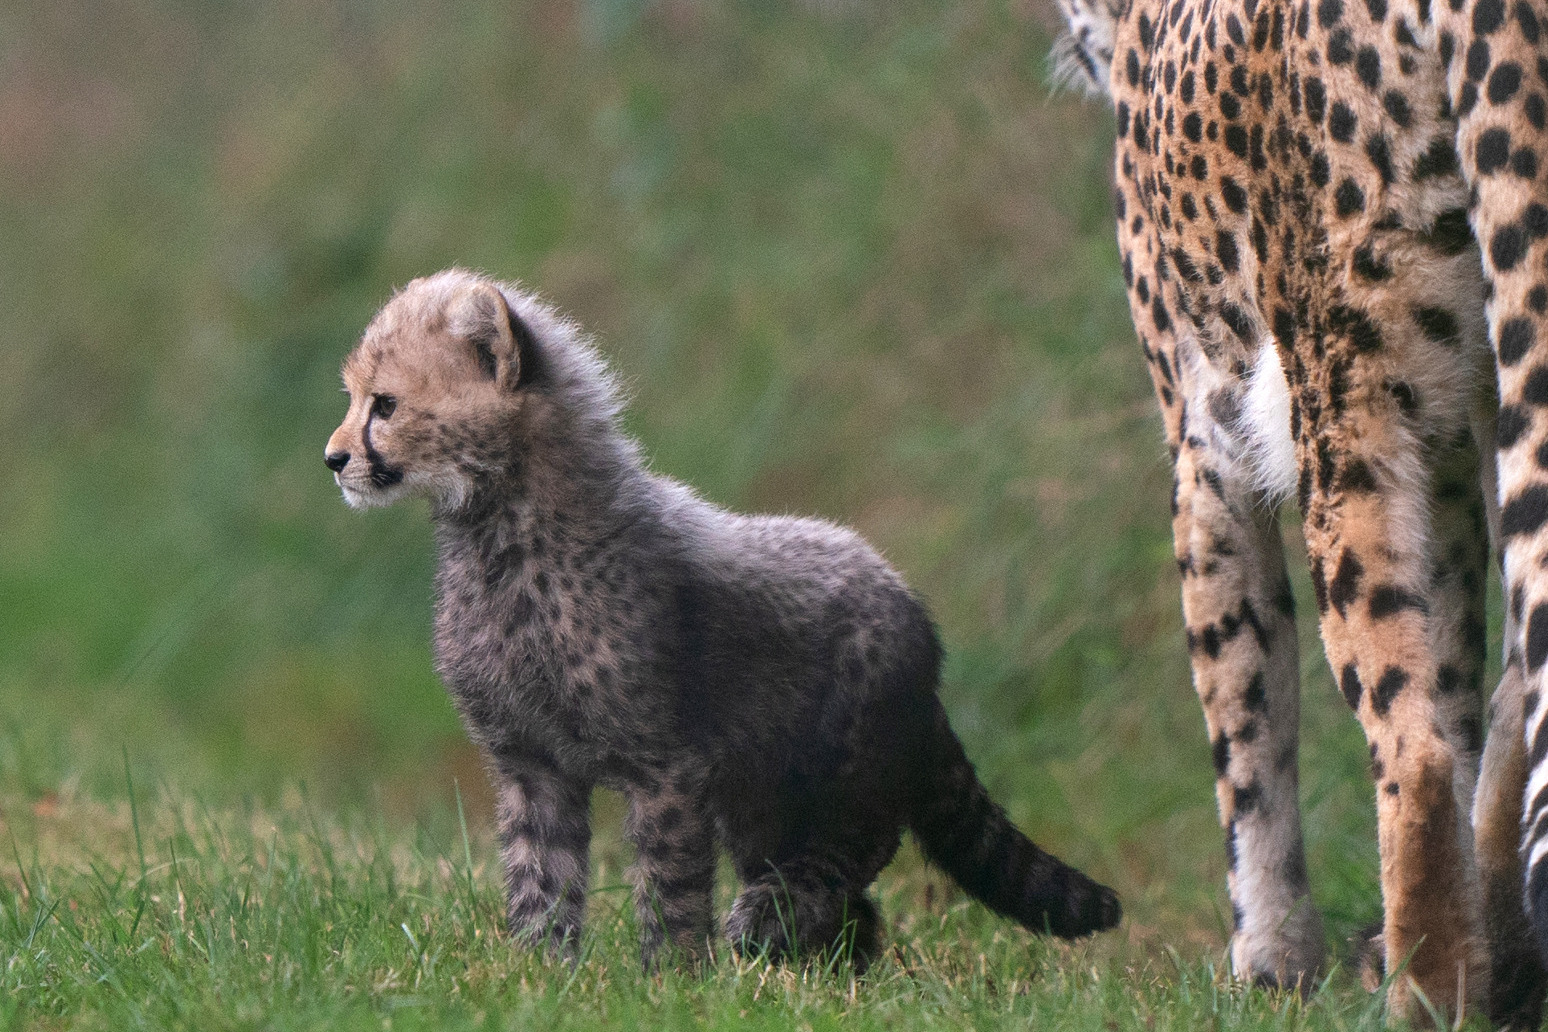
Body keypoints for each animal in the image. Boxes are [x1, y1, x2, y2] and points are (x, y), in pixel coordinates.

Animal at [1058, 0, 1548, 1027]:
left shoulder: (1206, 454)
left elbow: (1245, 722)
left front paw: (1268, 961)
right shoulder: (1457, 446)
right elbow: (1467, 677)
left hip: (1343, 412)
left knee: (1410, 750)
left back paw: (1421, 992)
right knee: (1509, 678)